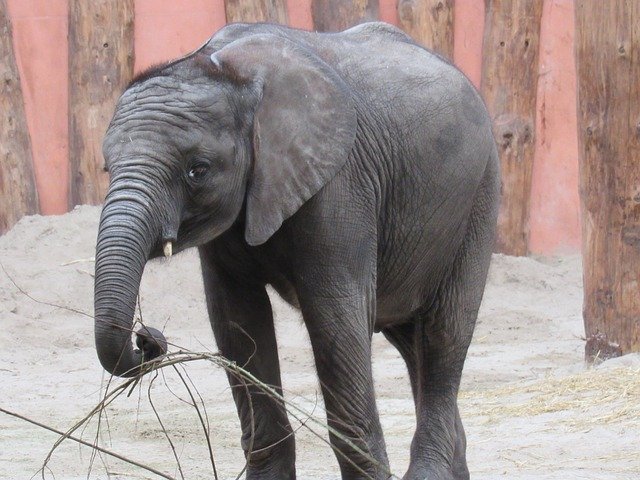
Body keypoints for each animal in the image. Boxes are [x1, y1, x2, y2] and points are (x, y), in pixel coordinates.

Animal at [95, 20, 502, 478]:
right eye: (107, 168)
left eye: (197, 170)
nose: (148, 339)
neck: (228, 69)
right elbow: (238, 323)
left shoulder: (341, 185)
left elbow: (334, 319)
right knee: (412, 340)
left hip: (479, 198)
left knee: (443, 335)